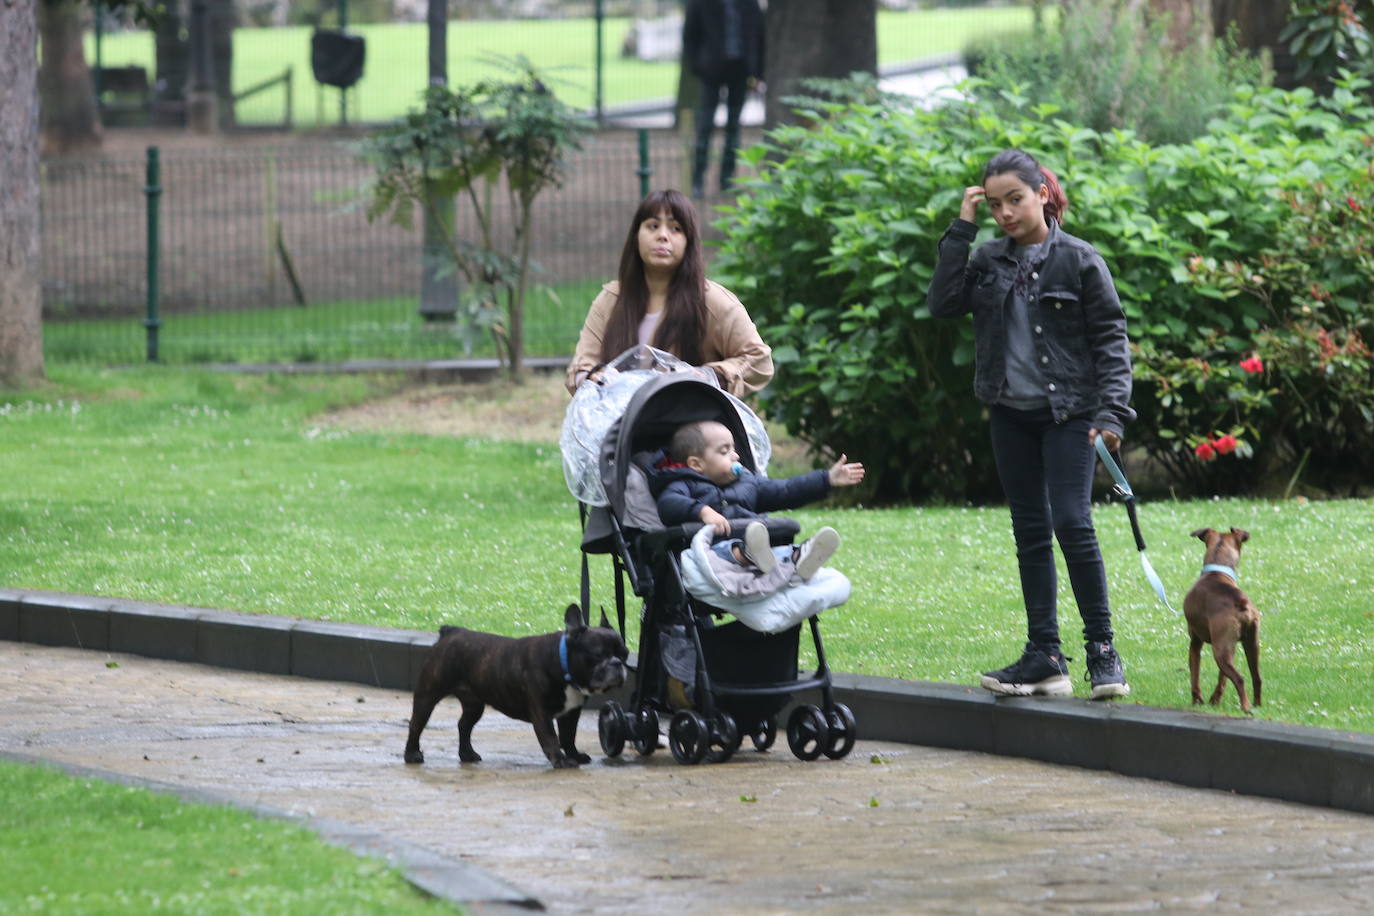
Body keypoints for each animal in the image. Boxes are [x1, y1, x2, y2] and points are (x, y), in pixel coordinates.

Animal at [1187, 527, 1258, 714]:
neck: (1216, 571)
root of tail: (1241, 603)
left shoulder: (1195, 642)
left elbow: (1194, 675)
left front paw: (1197, 701)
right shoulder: (1230, 649)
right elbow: (1222, 679)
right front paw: (1214, 701)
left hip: (1219, 652)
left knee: (1240, 678)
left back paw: (1246, 707)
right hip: (1249, 646)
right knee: (1256, 677)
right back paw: (1257, 704)